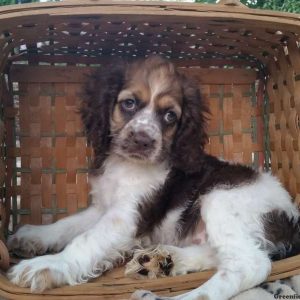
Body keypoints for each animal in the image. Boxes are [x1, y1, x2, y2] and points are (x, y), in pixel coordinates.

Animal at [6, 56, 300, 300]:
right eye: (129, 103)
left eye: (170, 115)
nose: (143, 140)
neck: (125, 165)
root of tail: (292, 216)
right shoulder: (103, 207)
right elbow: (67, 225)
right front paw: (33, 235)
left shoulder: (126, 215)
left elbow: (87, 239)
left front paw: (48, 265)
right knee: (221, 254)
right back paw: (164, 259)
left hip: (220, 198)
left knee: (249, 263)